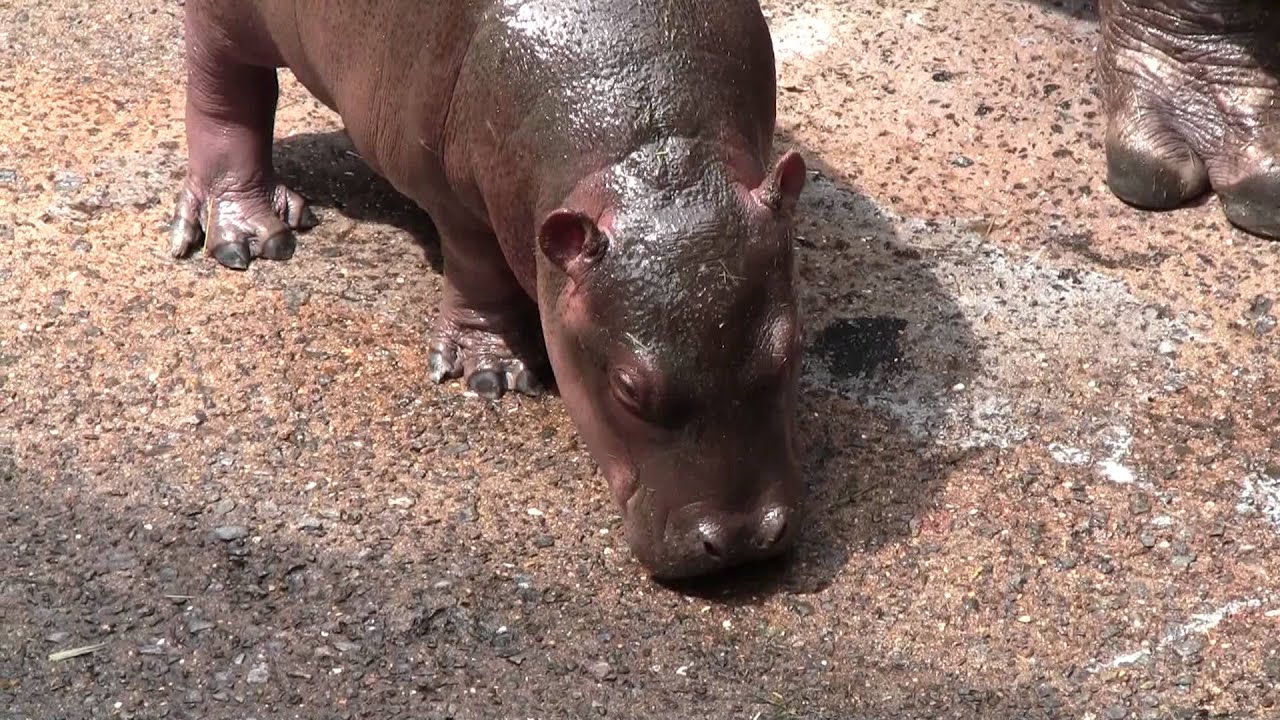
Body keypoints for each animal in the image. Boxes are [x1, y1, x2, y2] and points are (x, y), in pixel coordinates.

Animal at [168, 0, 803, 573]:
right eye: (626, 387)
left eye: (788, 350)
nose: (738, 541)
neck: (653, 148)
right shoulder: (454, 196)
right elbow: (479, 273)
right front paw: (491, 375)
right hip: (230, 22)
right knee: (224, 91)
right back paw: (250, 237)